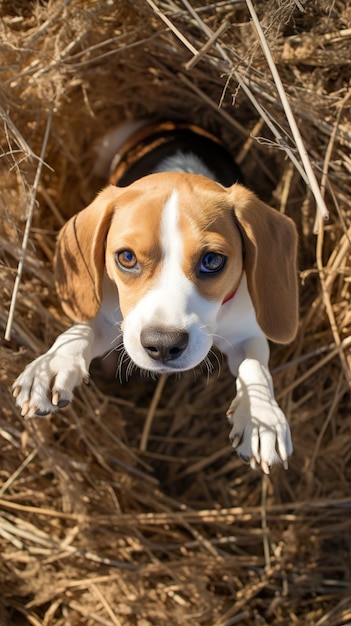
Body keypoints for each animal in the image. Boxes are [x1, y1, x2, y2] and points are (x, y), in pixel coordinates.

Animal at [14, 119, 300, 470]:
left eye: (212, 261)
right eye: (126, 258)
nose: (163, 345)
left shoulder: (246, 331)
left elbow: (255, 364)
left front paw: (262, 416)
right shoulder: (110, 318)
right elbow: (79, 331)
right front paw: (53, 364)